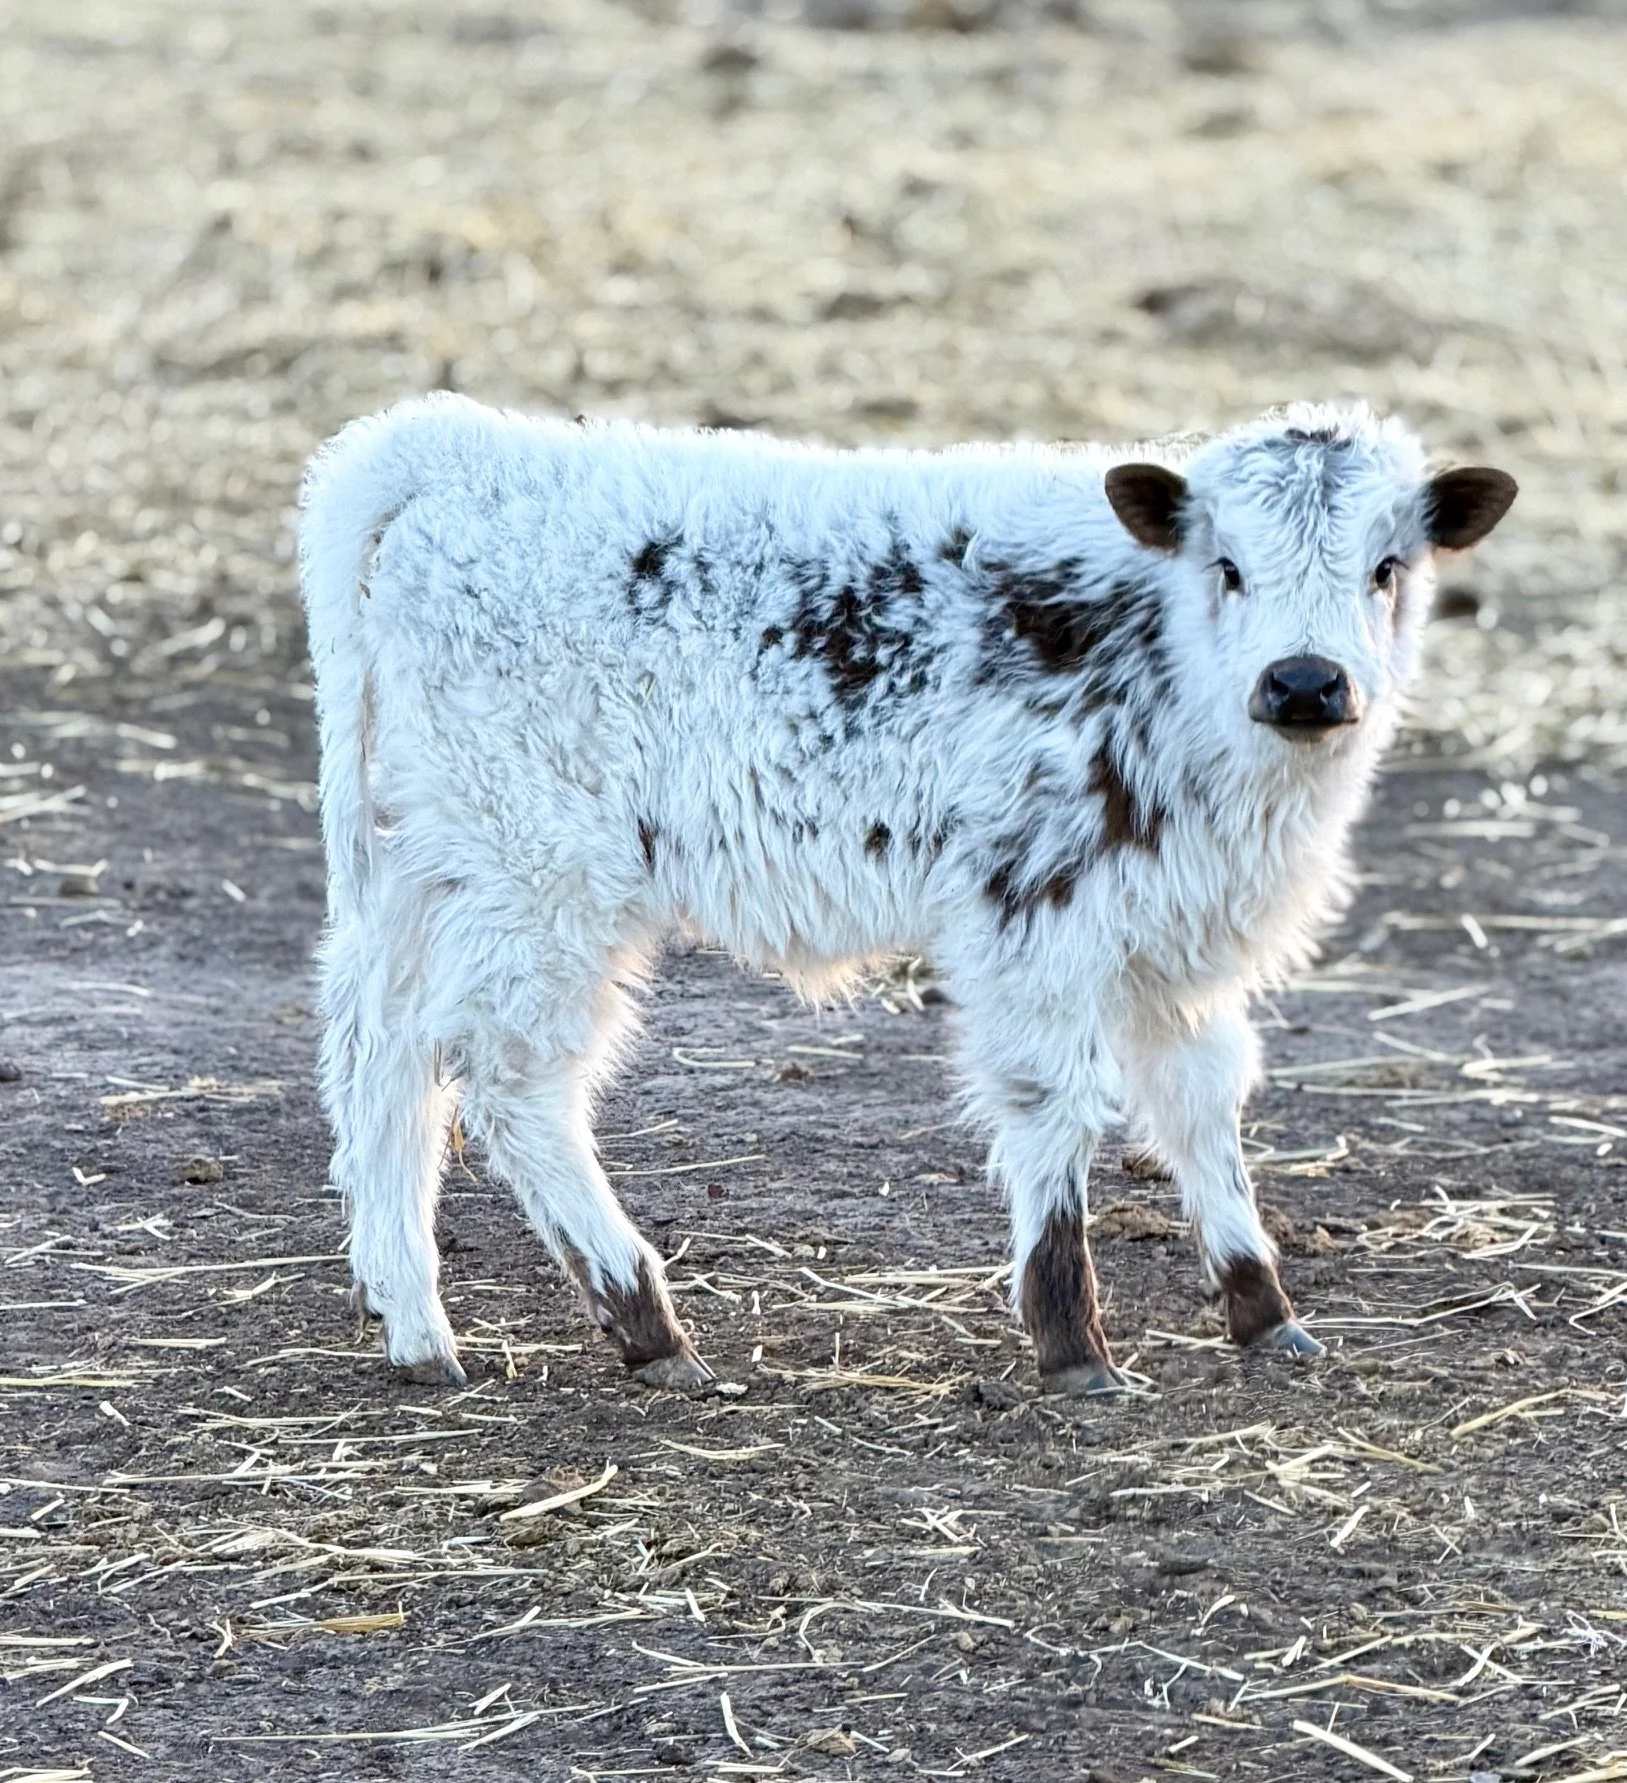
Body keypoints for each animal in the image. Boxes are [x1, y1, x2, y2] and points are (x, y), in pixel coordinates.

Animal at [299, 395, 1514, 1396]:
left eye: (1386, 567)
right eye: (1227, 567)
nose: (1305, 682)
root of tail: (442, 448)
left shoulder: (1175, 943)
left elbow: (1200, 1104)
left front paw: (1261, 1305)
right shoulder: (1031, 913)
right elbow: (1055, 1105)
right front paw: (1071, 1341)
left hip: (429, 866)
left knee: (380, 1057)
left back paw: (414, 1322)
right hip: (543, 875)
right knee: (510, 1081)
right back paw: (645, 1322)